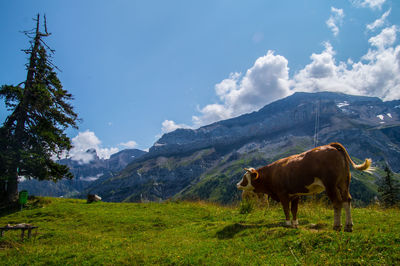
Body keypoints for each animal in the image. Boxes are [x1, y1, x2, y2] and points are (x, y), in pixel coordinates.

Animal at [238, 142, 372, 232]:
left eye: (245, 177)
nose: (237, 184)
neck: (272, 174)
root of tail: (331, 146)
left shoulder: (282, 194)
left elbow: (286, 209)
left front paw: (287, 224)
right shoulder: (295, 195)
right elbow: (294, 210)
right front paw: (295, 224)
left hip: (331, 185)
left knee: (337, 202)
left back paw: (337, 226)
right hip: (344, 183)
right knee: (346, 200)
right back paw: (348, 226)